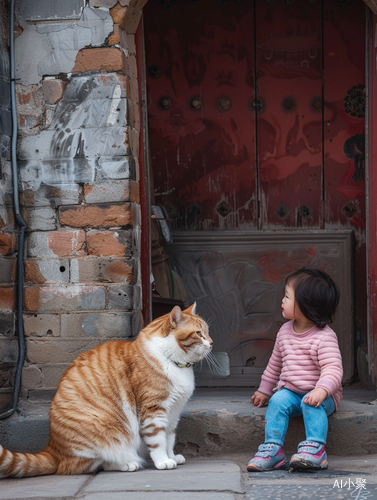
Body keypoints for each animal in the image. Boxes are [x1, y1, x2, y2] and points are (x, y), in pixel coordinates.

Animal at [0, 302, 212, 478]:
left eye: (207, 332)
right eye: (198, 333)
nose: (211, 343)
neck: (173, 362)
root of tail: (53, 449)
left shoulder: (173, 412)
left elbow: (169, 438)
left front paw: (172, 456)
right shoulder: (154, 410)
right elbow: (158, 440)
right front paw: (162, 461)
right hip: (102, 431)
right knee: (88, 465)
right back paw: (128, 464)